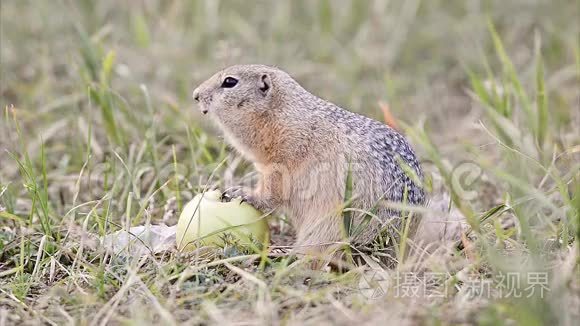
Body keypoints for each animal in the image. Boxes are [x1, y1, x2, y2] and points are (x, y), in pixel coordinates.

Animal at [193, 63, 424, 258]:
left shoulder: (283, 160)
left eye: (230, 82)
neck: (282, 114)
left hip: (330, 225)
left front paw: (243, 193)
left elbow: (272, 191)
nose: (195, 95)